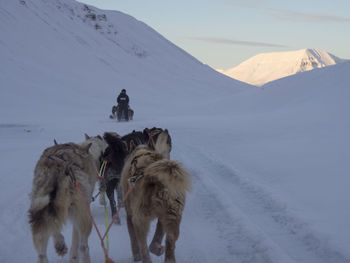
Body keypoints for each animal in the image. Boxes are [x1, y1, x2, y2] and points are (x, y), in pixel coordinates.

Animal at [121, 130, 191, 263]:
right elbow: (159, 233)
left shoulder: (130, 215)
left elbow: (133, 240)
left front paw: (136, 256)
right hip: (172, 215)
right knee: (169, 241)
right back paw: (160, 250)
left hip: (140, 219)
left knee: (144, 248)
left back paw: (146, 255)